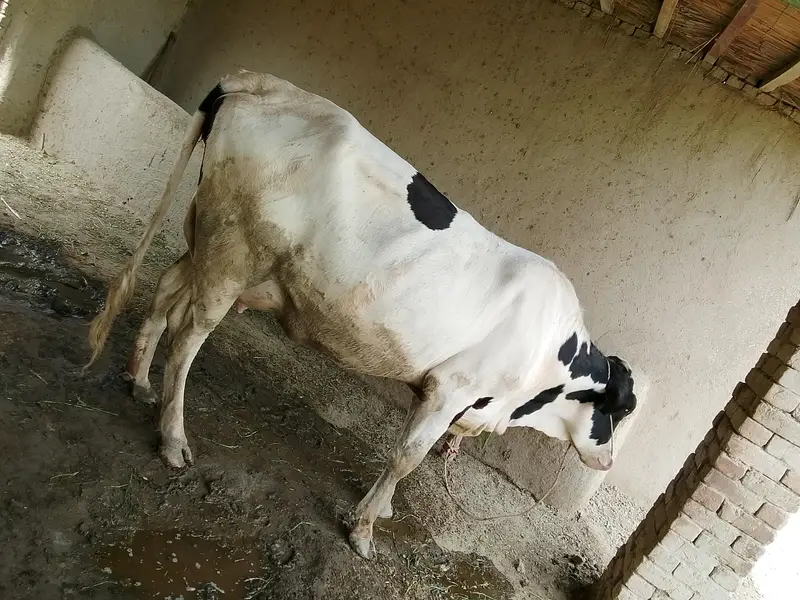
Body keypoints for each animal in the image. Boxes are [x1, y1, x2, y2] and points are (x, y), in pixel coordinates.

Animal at [86, 71, 639, 560]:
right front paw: (363, 531)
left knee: (165, 291)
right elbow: (407, 457)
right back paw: (173, 439)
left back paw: (139, 380)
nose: (609, 460)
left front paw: (382, 509)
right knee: (187, 338)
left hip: (205, 236)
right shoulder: (453, 388)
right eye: (618, 412)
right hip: (234, 252)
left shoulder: (431, 387)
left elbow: (403, 452)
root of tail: (260, 82)